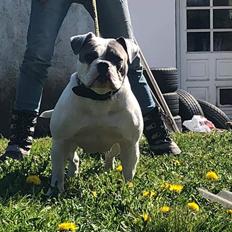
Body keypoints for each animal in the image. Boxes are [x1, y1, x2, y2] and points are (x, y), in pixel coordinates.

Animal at [41, 32, 143, 192]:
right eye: (89, 56)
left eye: (117, 59)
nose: (103, 64)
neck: (98, 97)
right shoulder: (60, 141)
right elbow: (57, 172)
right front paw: (56, 190)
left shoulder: (129, 144)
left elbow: (128, 172)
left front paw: (128, 189)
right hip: (69, 144)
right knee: (73, 158)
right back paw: (72, 174)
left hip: (116, 145)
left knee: (109, 155)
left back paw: (108, 168)